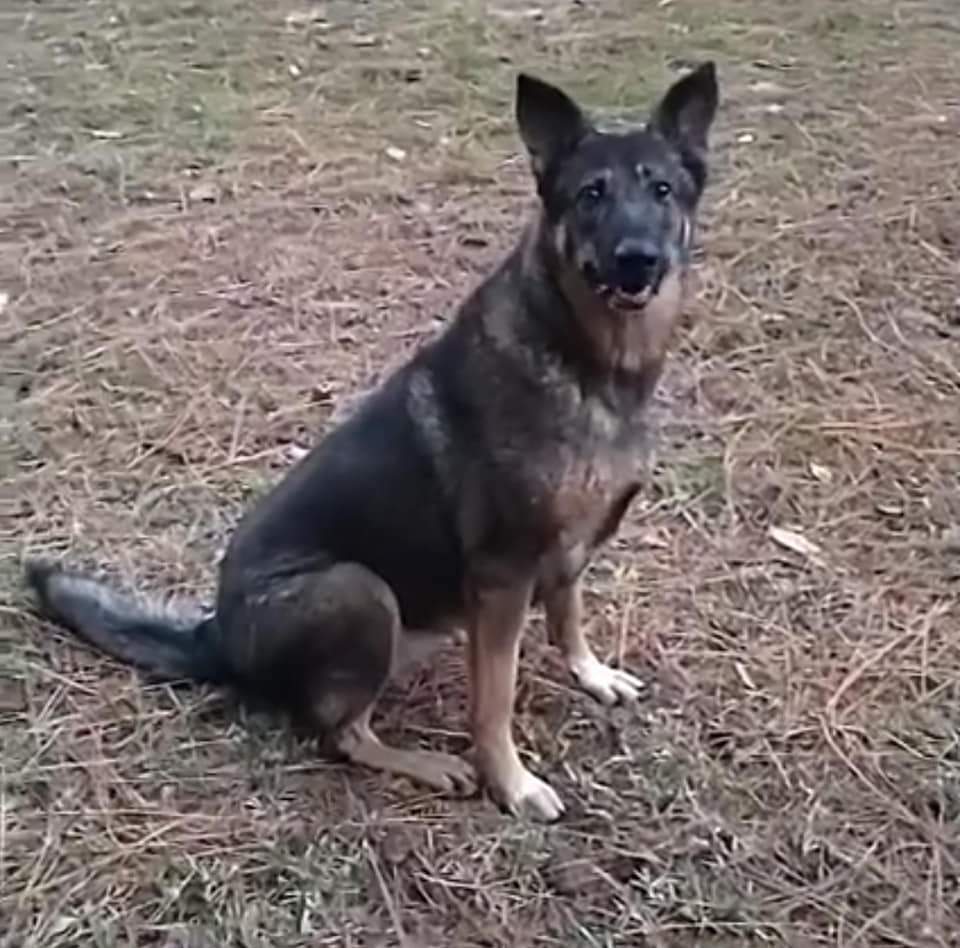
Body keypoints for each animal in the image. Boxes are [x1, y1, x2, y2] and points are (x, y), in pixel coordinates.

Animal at [22, 63, 716, 820]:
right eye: (591, 194)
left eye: (662, 190)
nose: (637, 261)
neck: (592, 362)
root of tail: (219, 636)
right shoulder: (503, 575)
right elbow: (494, 700)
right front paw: (511, 783)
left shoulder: (567, 550)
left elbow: (569, 617)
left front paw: (590, 675)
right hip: (361, 591)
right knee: (339, 734)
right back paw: (426, 764)